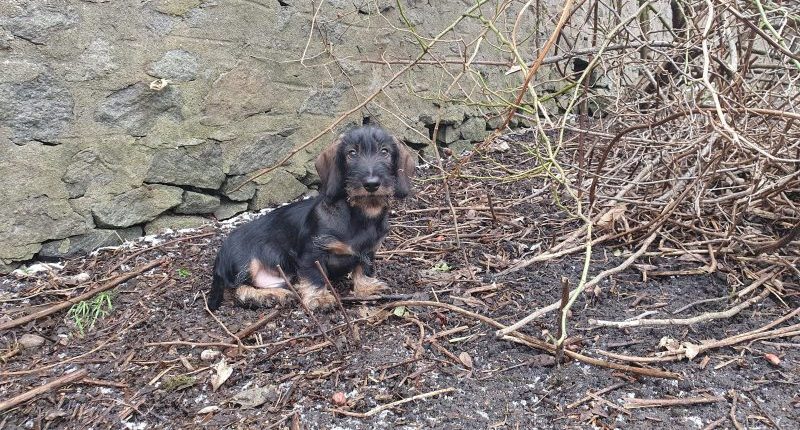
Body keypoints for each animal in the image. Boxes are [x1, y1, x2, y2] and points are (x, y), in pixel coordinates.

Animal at [206, 126, 418, 310]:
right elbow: (315, 275)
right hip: (246, 263)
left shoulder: (369, 251)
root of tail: (219, 258)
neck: (362, 214)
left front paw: (367, 286)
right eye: (351, 153)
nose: (371, 184)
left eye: (385, 152)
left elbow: (363, 268)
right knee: (237, 291)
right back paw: (268, 297)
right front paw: (320, 298)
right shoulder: (312, 252)